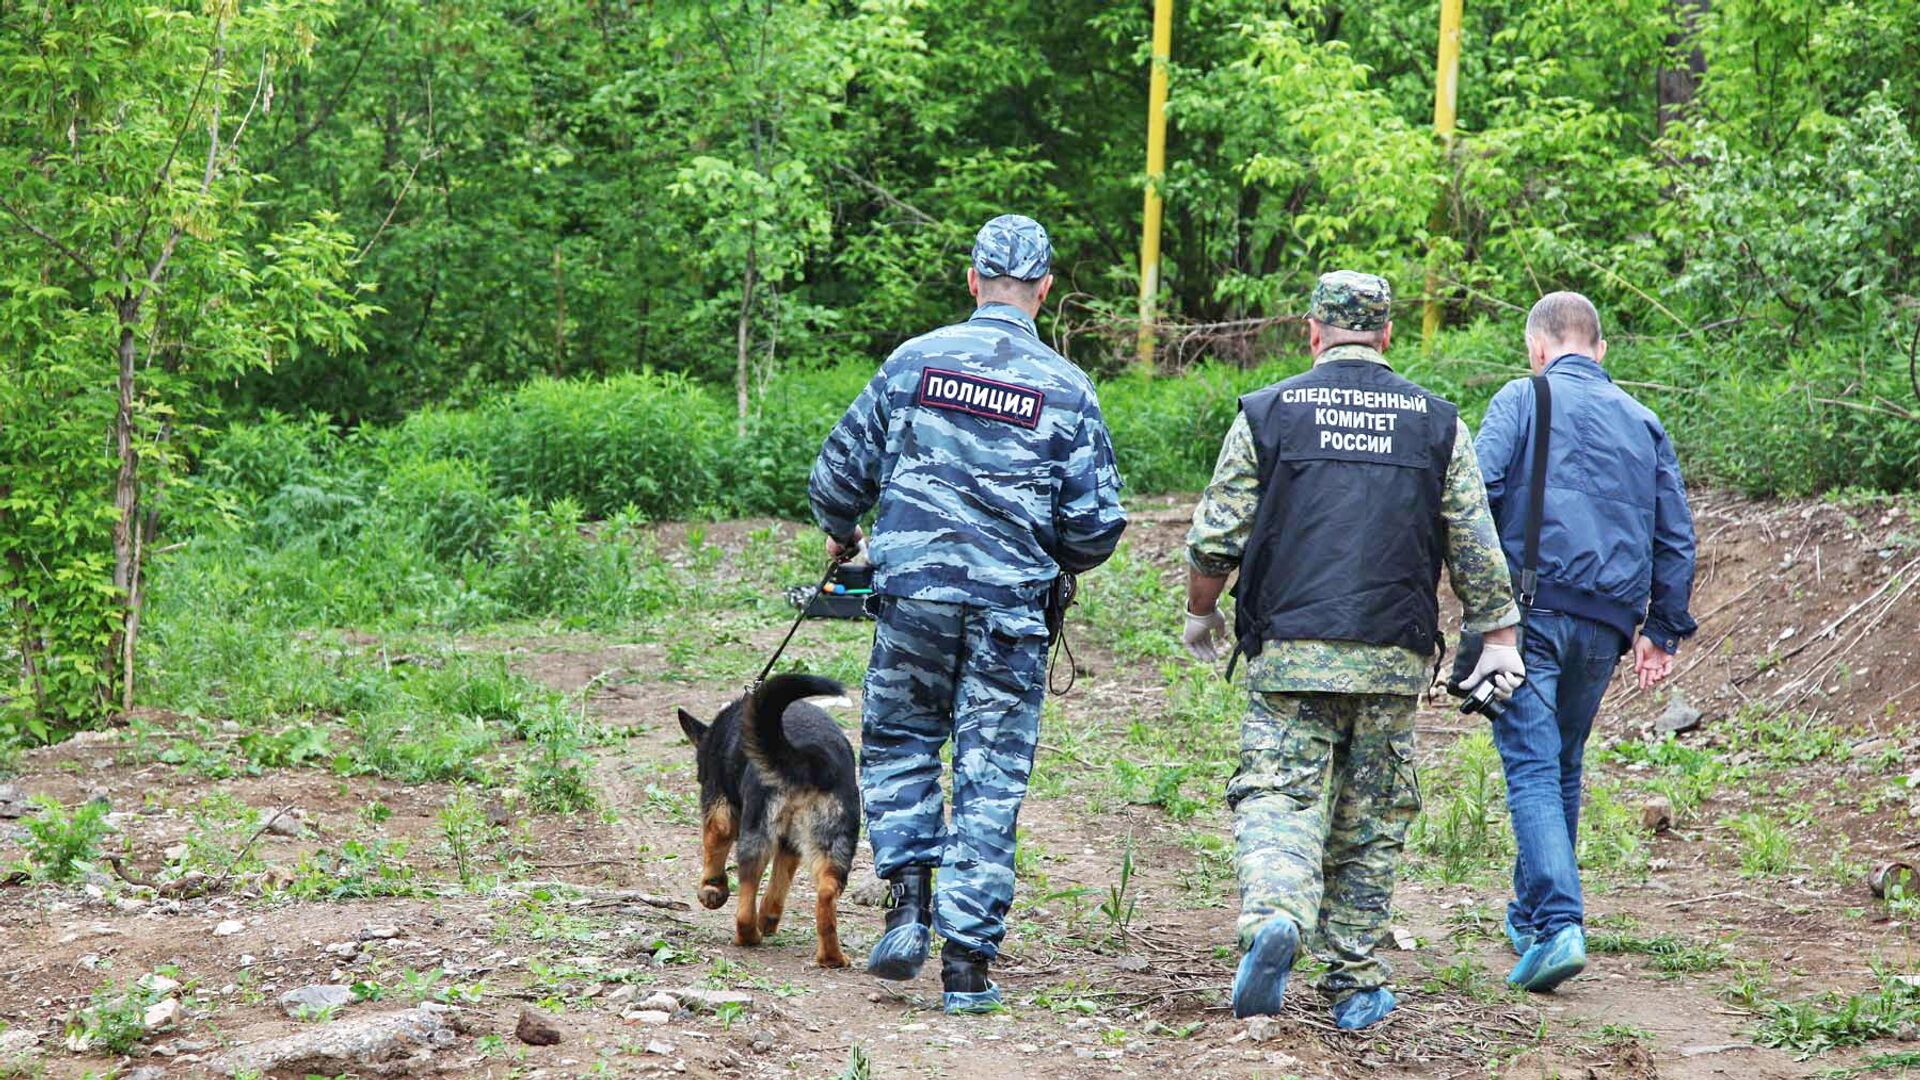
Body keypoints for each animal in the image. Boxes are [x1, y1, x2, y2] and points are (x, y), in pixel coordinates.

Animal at [675, 668, 856, 960]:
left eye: (700, 775)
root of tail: (807, 757)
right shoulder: (790, 845)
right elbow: (778, 884)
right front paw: (768, 919)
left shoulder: (719, 810)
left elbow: (713, 850)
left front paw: (712, 889)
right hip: (835, 844)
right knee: (826, 893)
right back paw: (832, 958)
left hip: (754, 837)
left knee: (745, 905)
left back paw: (747, 936)